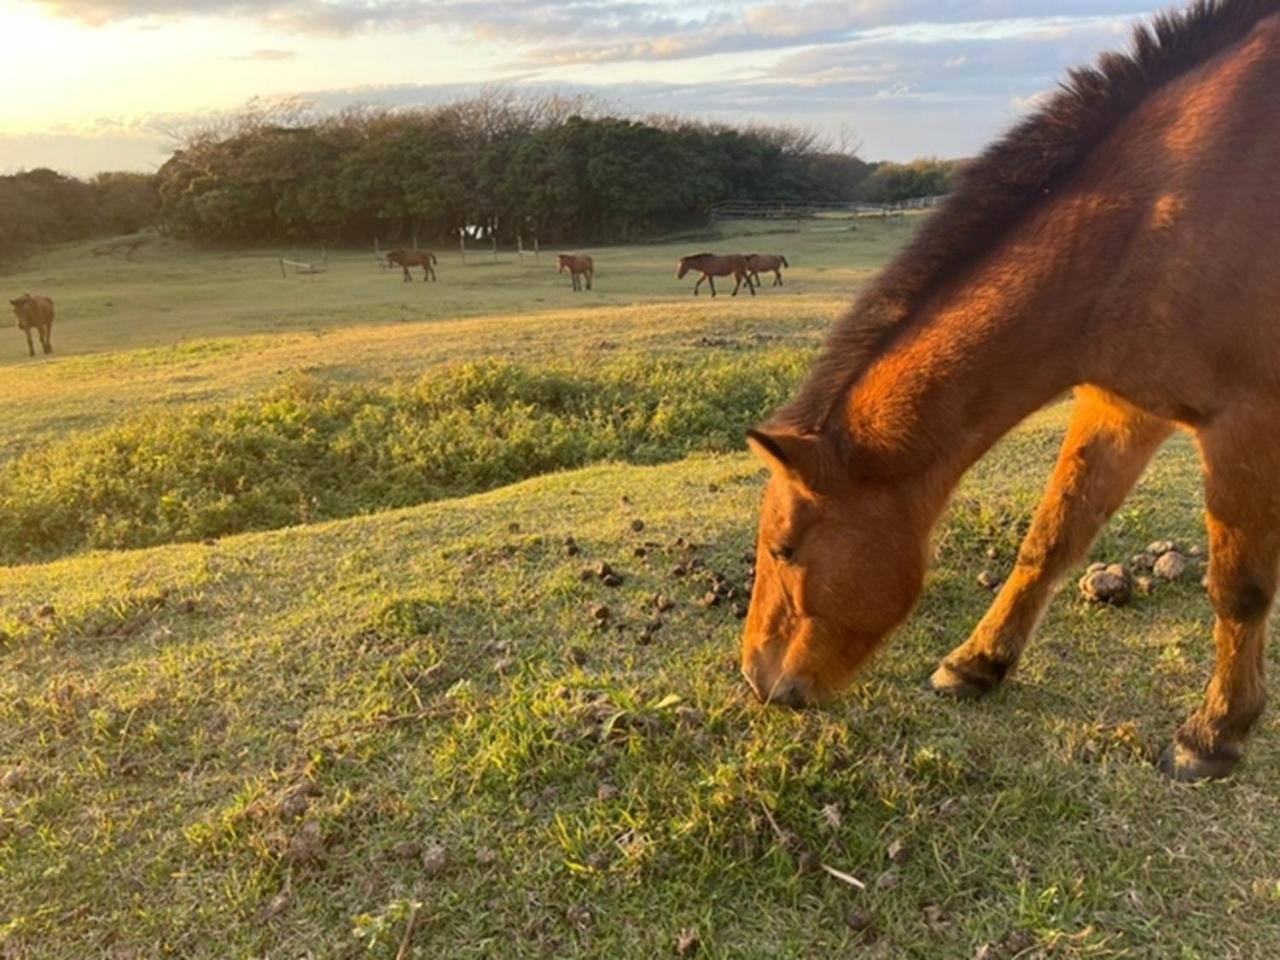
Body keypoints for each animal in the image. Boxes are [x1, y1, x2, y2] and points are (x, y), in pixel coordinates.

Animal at [737, 0, 1280, 783]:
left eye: (784, 550)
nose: (758, 679)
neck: (1157, 210)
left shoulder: (1243, 420)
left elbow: (1238, 586)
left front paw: (1213, 732)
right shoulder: (1123, 406)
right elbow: (1051, 538)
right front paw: (976, 663)